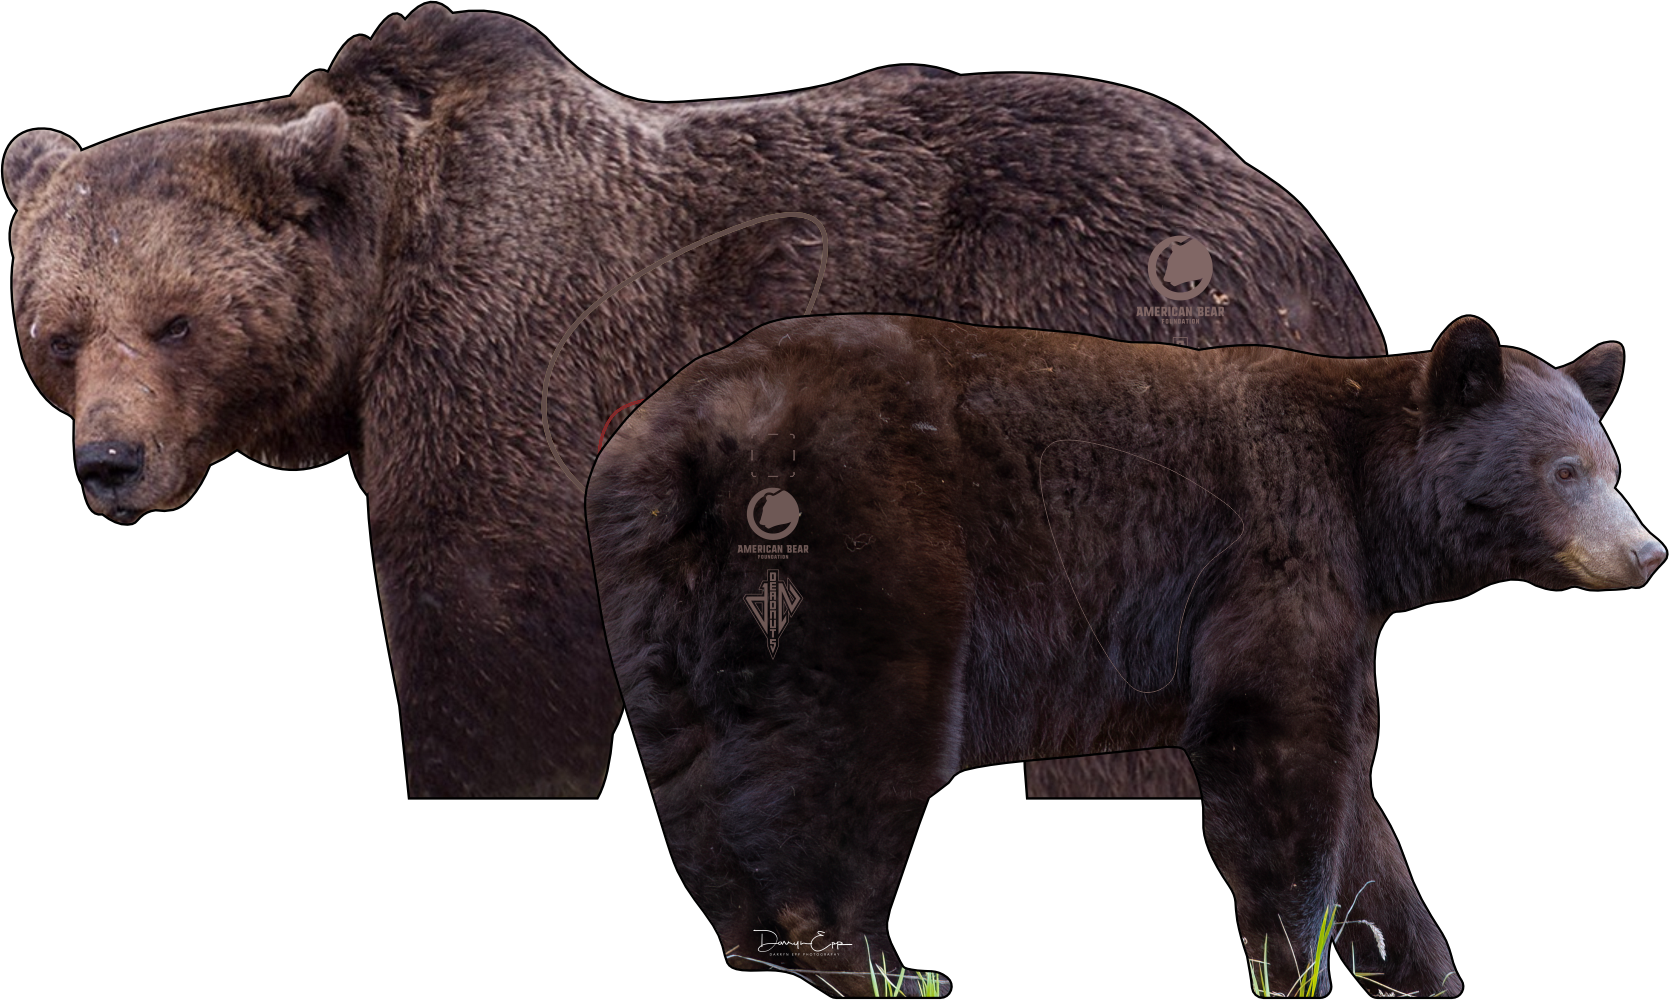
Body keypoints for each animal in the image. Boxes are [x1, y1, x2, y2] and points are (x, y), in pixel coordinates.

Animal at [4, 3, 1384, 798]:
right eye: (55, 334)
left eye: (176, 320)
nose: (110, 463)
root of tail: (1312, 235)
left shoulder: (507, 359)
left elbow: (492, 637)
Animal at [584, 312, 1663, 996]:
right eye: (1564, 471)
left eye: (1614, 465)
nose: (1646, 551)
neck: (1367, 500)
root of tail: (669, 443)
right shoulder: (1276, 551)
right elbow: (1277, 749)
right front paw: (1293, 965)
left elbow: (1355, 792)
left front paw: (1423, 966)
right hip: (869, 544)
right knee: (863, 746)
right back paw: (885, 964)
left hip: (655, 594)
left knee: (693, 766)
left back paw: (761, 943)